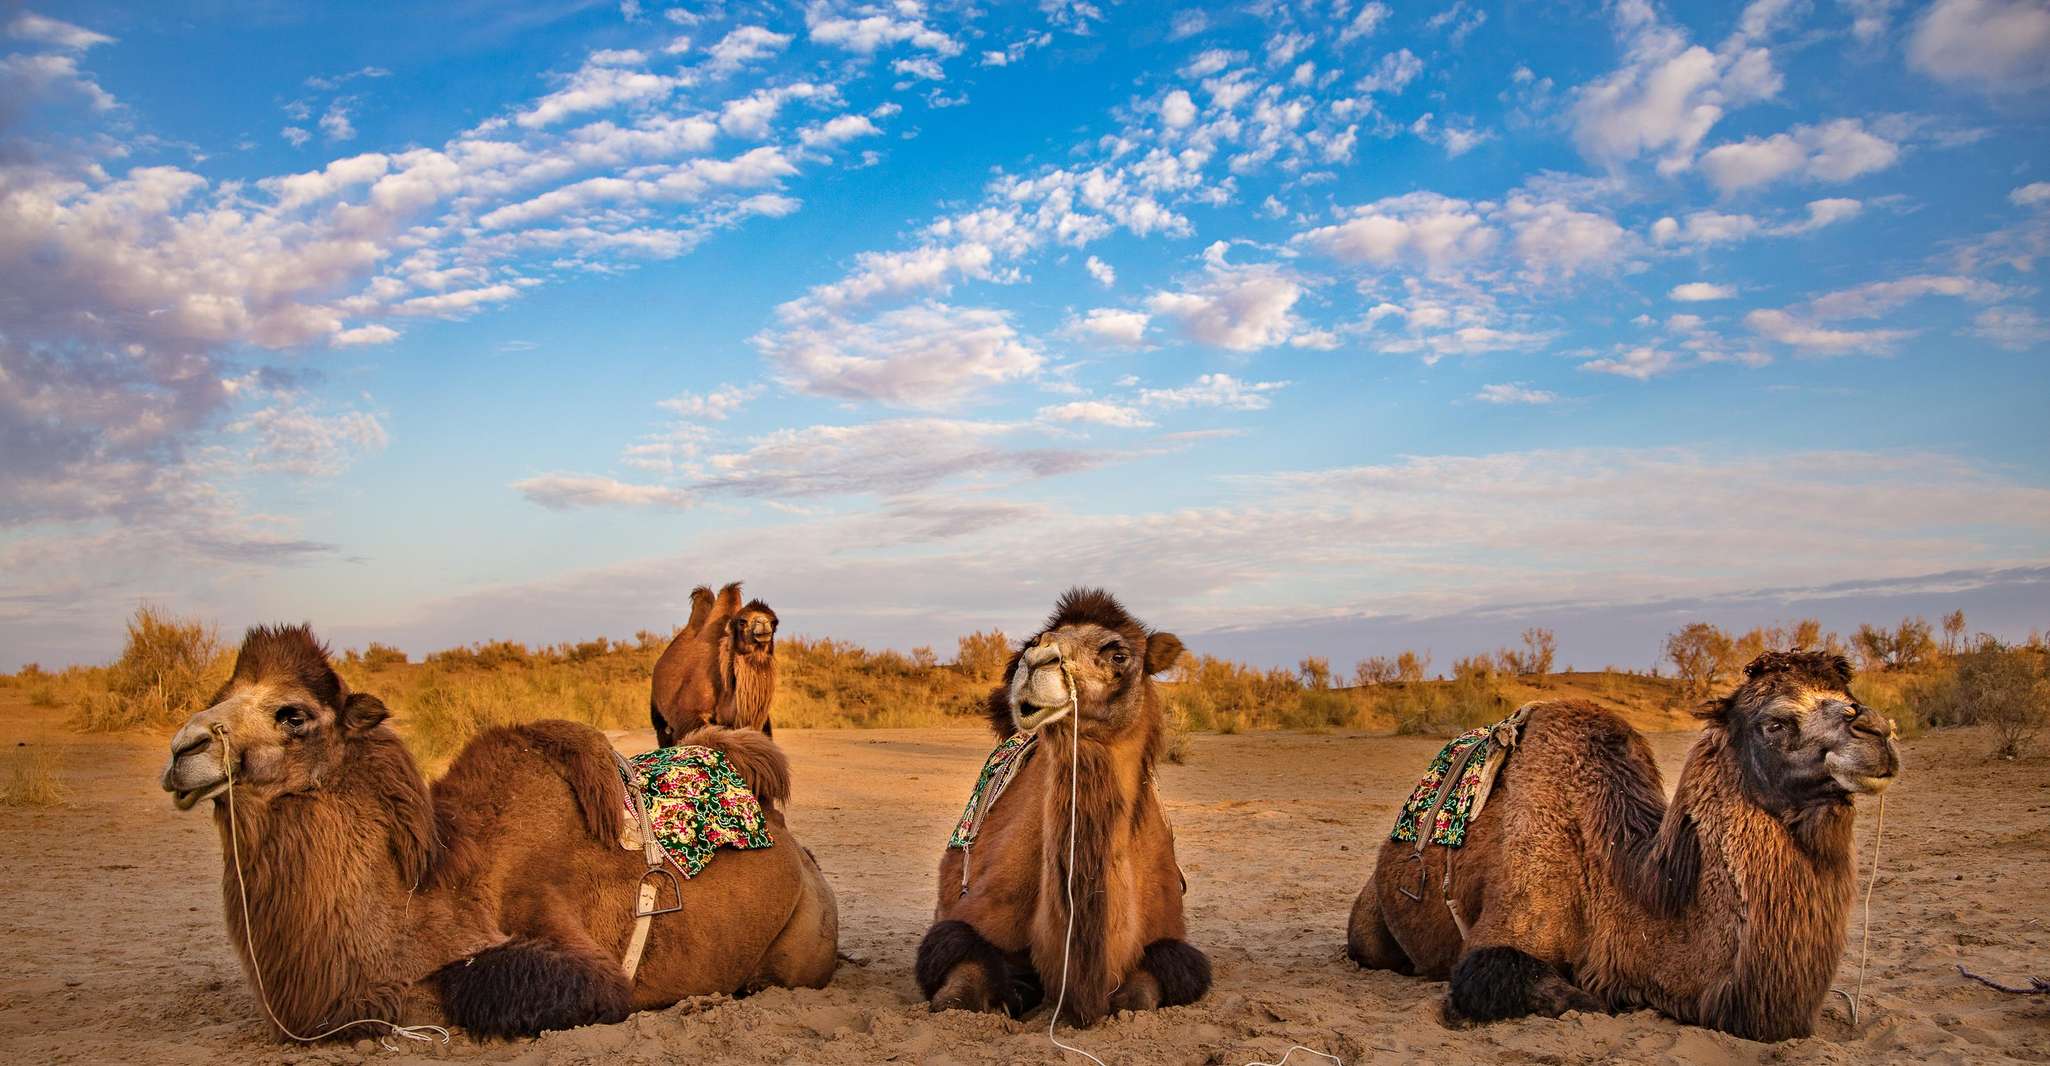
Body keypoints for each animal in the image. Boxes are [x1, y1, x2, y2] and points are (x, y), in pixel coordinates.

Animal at [155, 623, 836, 1041]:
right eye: (220, 693)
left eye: (292, 714)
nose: (183, 751)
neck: (426, 889)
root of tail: (797, 850)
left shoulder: (573, 956)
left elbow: (469, 983)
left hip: (804, 945)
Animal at [918, 586, 1213, 1029]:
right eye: (1041, 638)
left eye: (1119, 654)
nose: (1036, 660)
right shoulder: (965, 925)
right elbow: (954, 994)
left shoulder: (1170, 946)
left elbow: (1138, 999)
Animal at [1353, 647, 1894, 1041]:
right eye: (1775, 722)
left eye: (1846, 693)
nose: (1877, 730)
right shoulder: (1501, 933)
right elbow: (1581, 999)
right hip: (1369, 932)